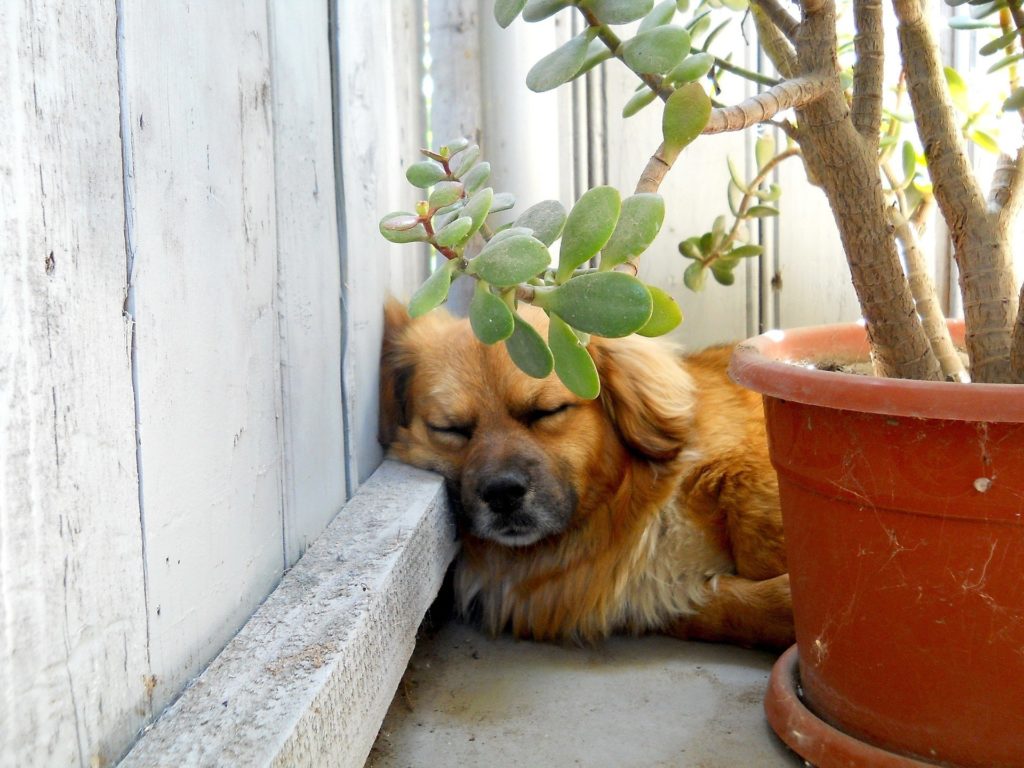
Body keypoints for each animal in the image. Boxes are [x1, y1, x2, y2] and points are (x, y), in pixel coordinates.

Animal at [380, 301, 794, 651]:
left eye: (547, 411)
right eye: (451, 429)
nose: (502, 493)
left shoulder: (740, 467)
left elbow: (758, 529)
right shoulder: (666, 595)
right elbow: (733, 610)